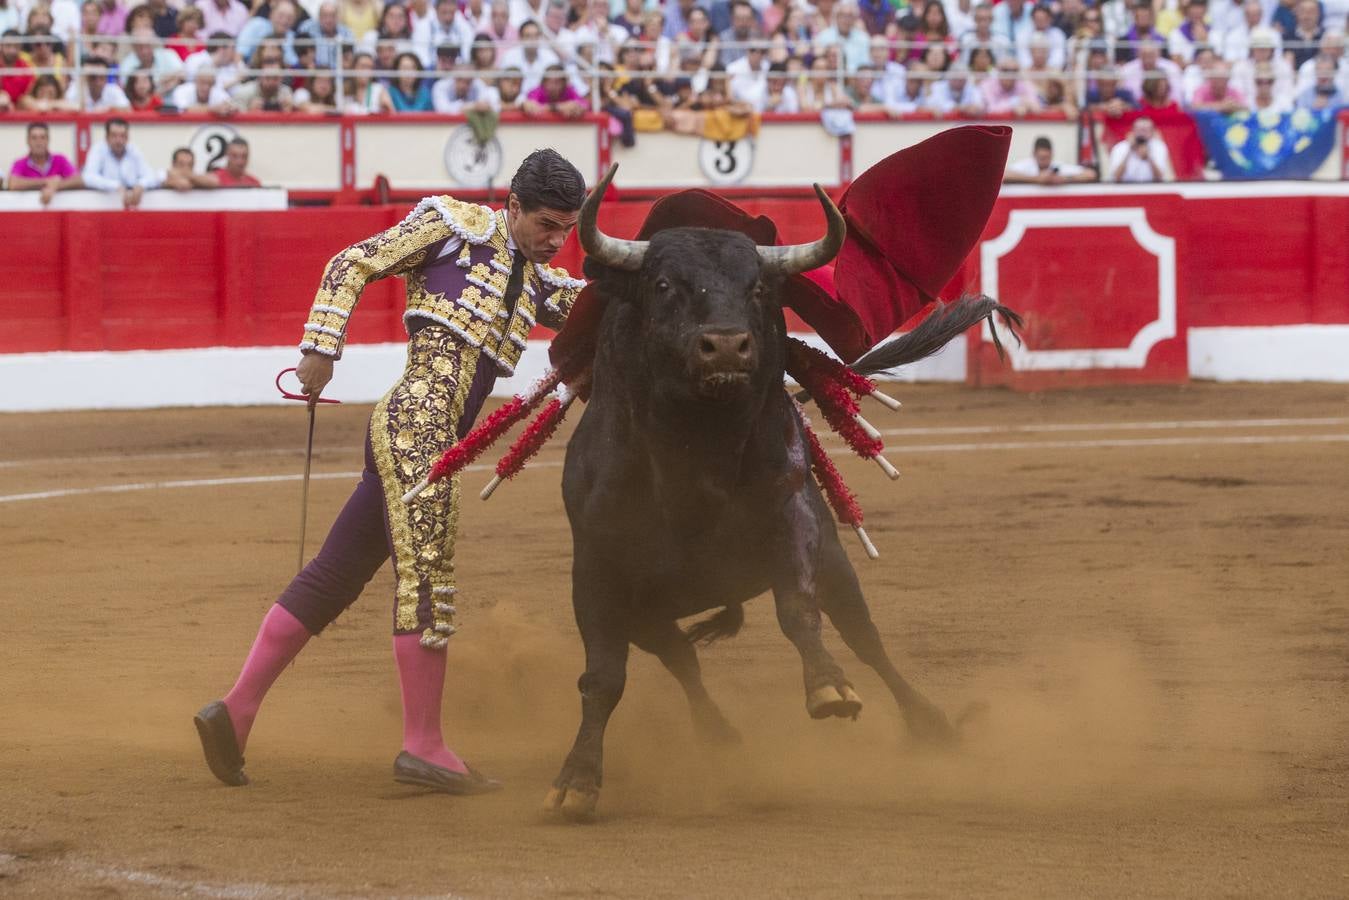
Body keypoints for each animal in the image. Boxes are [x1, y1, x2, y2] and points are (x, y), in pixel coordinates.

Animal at [542, 168, 976, 825]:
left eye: (757, 290)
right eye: (663, 285)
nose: (725, 346)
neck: (695, 447)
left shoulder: (791, 516)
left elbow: (799, 611)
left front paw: (828, 689)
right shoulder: (598, 570)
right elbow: (603, 678)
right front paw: (578, 780)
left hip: (835, 561)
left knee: (865, 637)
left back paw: (930, 726)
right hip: (649, 615)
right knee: (683, 661)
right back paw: (720, 737)